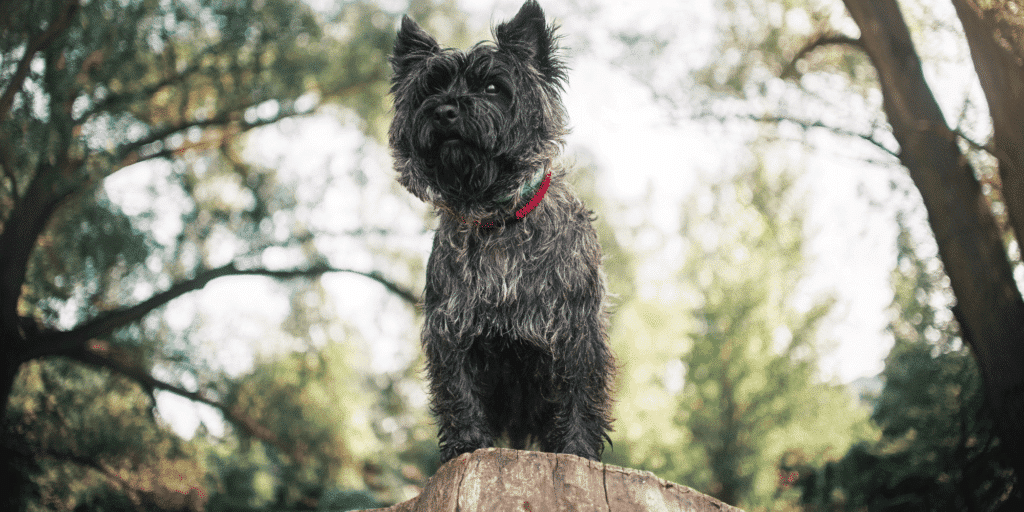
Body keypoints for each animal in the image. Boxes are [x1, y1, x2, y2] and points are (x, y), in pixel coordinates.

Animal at [389, 0, 614, 464]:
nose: (445, 110)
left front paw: (578, 451)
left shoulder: (576, 331)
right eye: (430, 89)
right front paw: (466, 445)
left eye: (493, 87)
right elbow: (459, 392)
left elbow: (580, 396)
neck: (497, 218)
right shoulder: (452, 331)